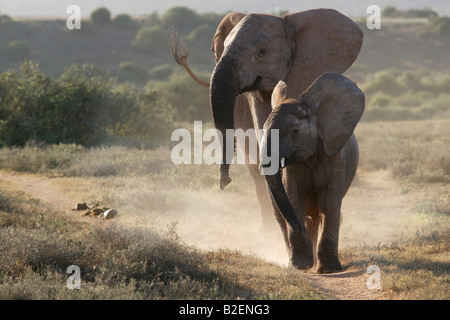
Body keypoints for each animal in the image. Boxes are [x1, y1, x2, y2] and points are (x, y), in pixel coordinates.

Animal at [260, 73, 366, 272]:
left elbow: (329, 204)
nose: (297, 229)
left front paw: (329, 270)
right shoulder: (292, 169)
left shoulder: (337, 157)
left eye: (294, 132)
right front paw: (301, 266)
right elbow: (295, 200)